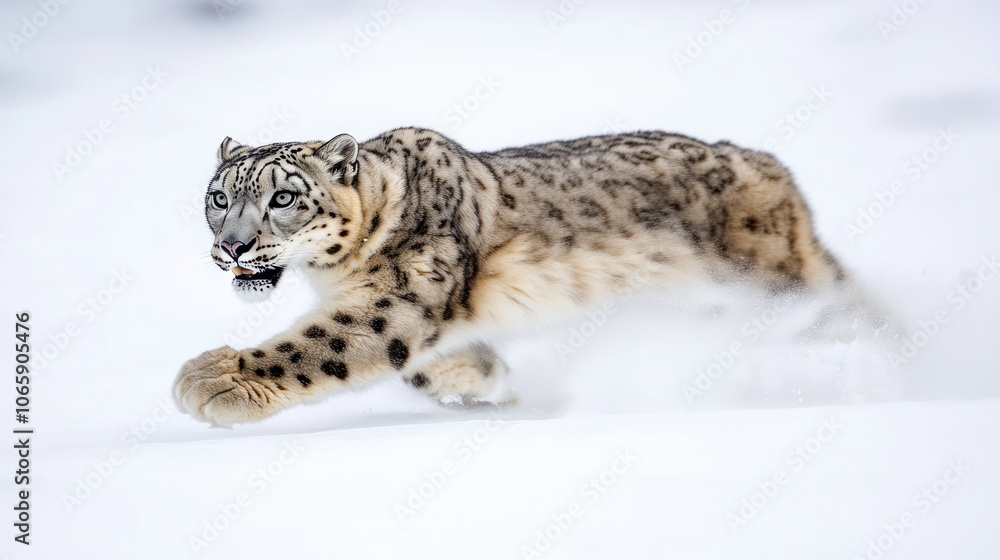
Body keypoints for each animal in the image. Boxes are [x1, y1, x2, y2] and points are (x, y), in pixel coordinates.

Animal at [173, 127, 852, 426]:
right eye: (218, 197)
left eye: (283, 197)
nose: (232, 246)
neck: (333, 277)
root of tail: (776, 169)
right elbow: (425, 365)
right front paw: (487, 379)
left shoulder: (399, 300)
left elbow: (324, 344)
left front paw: (212, 381)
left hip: (778, 276)